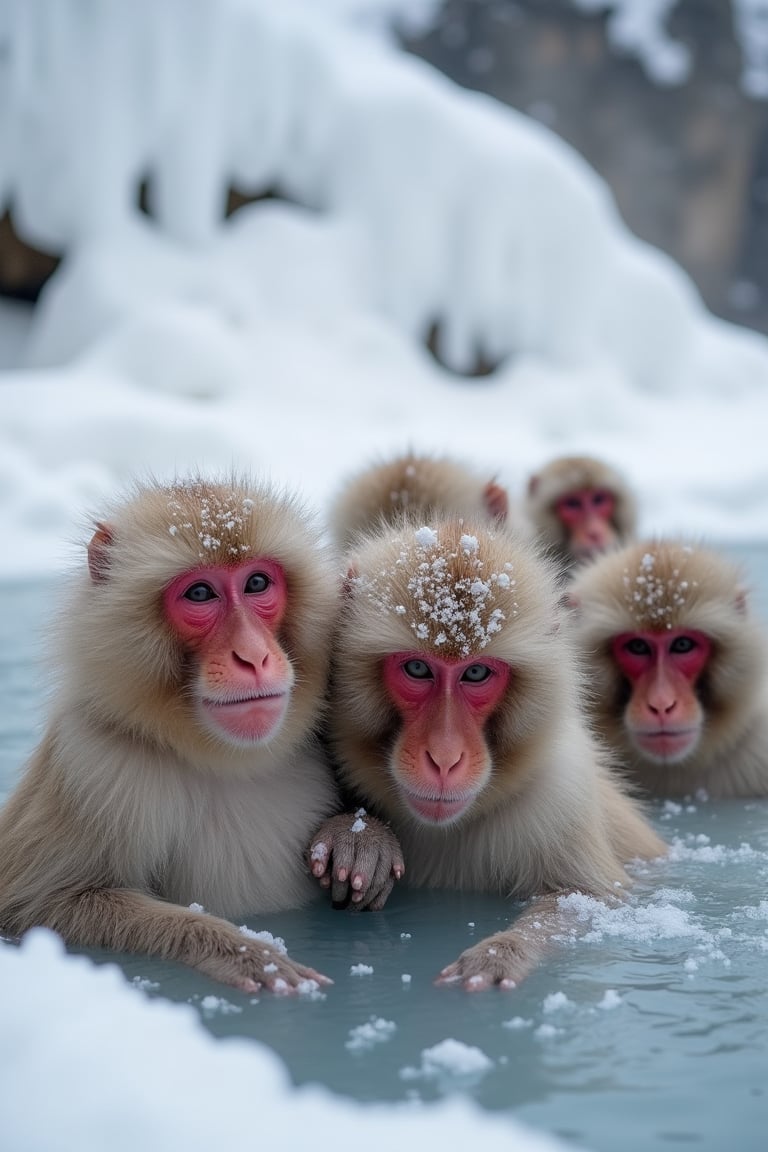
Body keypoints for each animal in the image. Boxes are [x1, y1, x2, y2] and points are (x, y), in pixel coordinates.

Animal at [0, 472, 405, 995]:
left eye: (257, 583)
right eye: (199, 595)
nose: (253, 656)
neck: (226, 762)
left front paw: (361, 841)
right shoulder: (89, 762)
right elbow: (39, 905)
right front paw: (242, 952)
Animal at [308, 518, 663, 986]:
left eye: (476, 673)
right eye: (417, 669)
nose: (444, 758)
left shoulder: (561, 797)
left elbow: (586, 900)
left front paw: (500, 953)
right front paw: (358, 836)